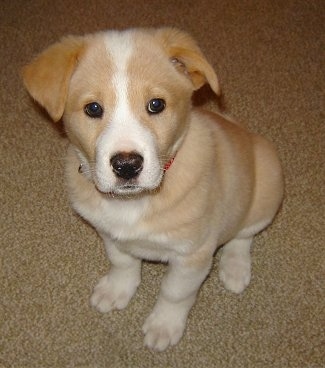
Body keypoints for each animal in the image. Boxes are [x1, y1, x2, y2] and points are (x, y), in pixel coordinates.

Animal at [22, 28, 282, 350]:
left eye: (156, 104)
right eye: (93, 108)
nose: (126, 166)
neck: (134, 203)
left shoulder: (192, 255)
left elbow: (175, 293)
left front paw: (164, 325)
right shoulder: (109, 233)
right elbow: (122, 262)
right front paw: (118, 289)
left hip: (267, 185)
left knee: (243, 235)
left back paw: (235, 267)